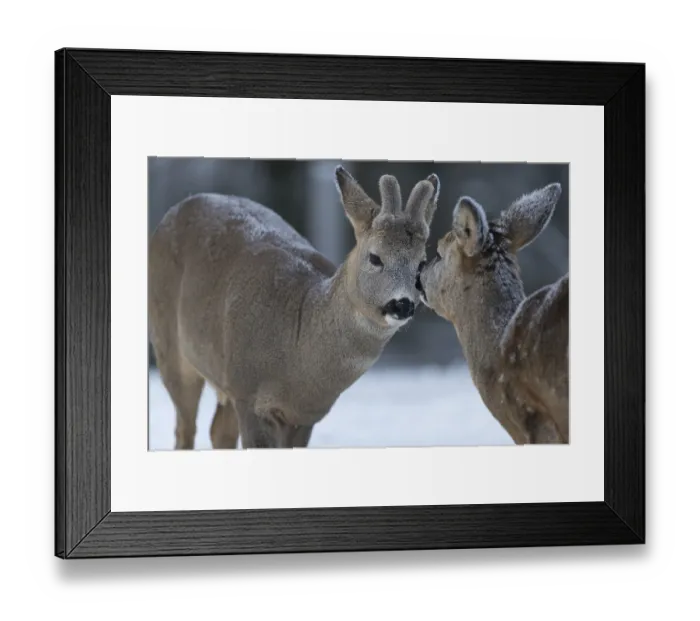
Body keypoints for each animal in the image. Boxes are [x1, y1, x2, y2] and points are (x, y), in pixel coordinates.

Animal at [148, 166, 440, 449]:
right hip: (171, 348)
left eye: (421, 264)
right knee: (185, 428)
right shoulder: (248, 393)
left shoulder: (302, 417)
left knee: (218, 431)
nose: (402, 304)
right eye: (375, 257)